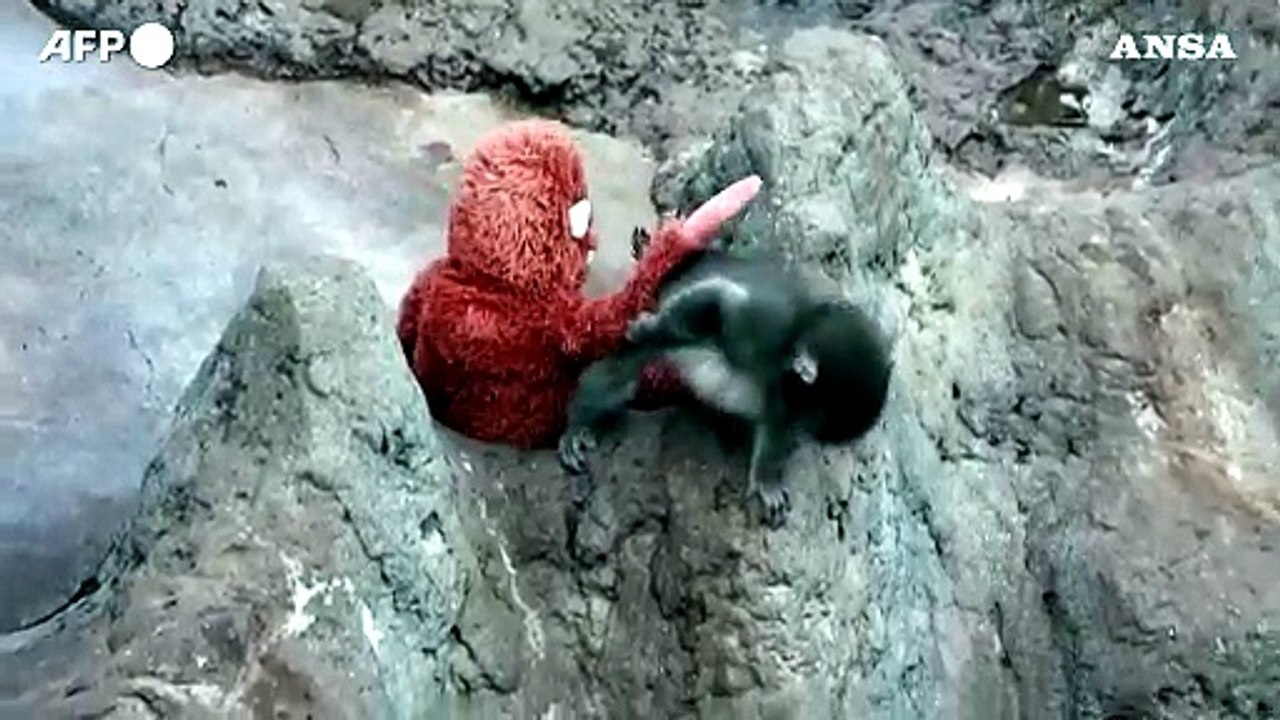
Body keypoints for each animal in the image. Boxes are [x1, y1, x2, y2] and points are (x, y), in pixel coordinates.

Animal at [557, 247, 893, 528]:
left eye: (810, 419)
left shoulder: (784, 393)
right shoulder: (764, 331)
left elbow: (775, 426)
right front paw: (649, 326)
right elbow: (723, 299)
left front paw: (766, 479)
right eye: (813, 410)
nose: (803, 425)